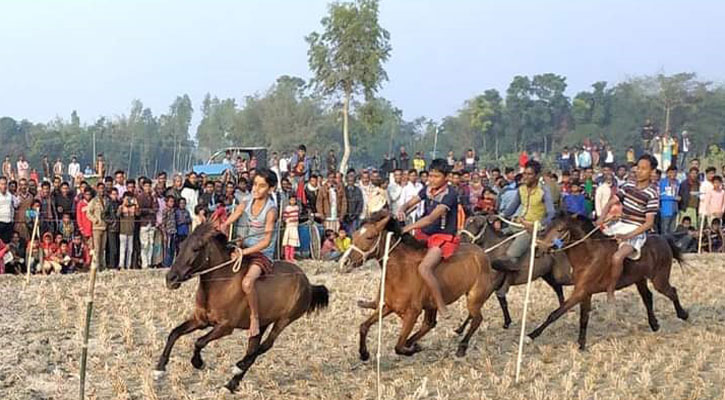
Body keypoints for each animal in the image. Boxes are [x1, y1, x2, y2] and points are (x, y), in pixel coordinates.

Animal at [157, 223, 332, 392]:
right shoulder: (200, 320)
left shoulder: (225, 326)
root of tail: (307, 282)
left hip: (284, 320)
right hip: (261, 324)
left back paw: (238, 367)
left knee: (263, 347)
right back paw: (231, 384)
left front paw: (198, 363)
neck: (221, 283)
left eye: (196, 248)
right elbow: (174, 333)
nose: (170, 278)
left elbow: (199, 342)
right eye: (181, 246)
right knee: (253, 348)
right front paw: (159, 369)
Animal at [346, 211, 498, 358]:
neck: (401, 271)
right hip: (433, 304)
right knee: (429, 324)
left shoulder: (412, 313)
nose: (347, 261)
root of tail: (482, 253)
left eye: (370, 237)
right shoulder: (389, 306)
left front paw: (413, 348)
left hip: (474, 298)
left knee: (477, 319)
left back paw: (461, 347)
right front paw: (364, 354)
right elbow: (363, 326)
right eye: (354, 235)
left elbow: (398, 347)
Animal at [528, 212, 688, 350]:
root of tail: (663, 239)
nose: (538, 249)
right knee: (648, 297)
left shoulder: (580, 292)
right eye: (547, 226)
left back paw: (683, 314)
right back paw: (654, 324)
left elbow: (555, 313)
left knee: (672, 292)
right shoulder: (585, 293)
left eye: (560, 229)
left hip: (659, 279)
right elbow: (583, 317)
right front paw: (581, 344)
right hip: (640, 279)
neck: (589, 256)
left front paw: (531, 335)